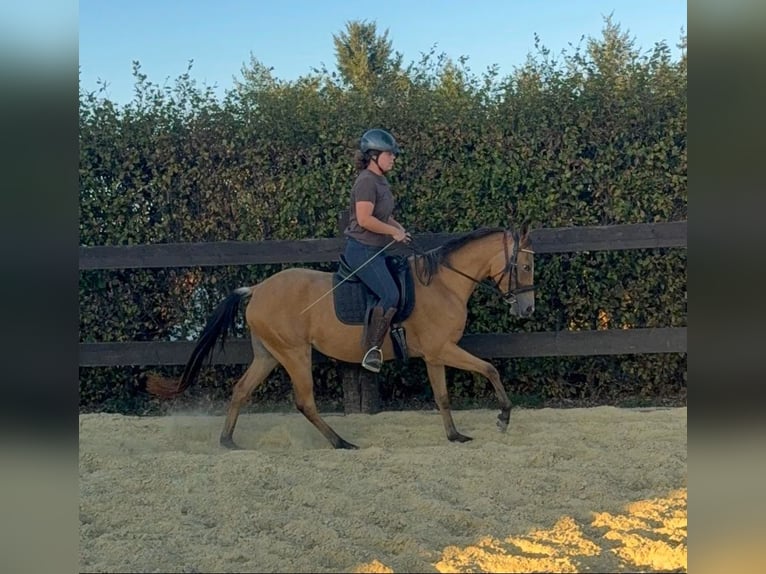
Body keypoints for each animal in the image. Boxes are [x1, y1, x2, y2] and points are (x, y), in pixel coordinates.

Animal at [145, 222, 535, 449]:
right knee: (305, 402)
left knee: (241, 390)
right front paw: (503, 418)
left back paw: (228, 441)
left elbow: (442, 396)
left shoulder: (435, 354)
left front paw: (455, 436)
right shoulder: (444, 349)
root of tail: (256, 289)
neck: (442, 284)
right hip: (295, 353)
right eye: (526, 265)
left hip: (269, 355)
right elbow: (489, 368)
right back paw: (341, 442)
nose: (527, 309)